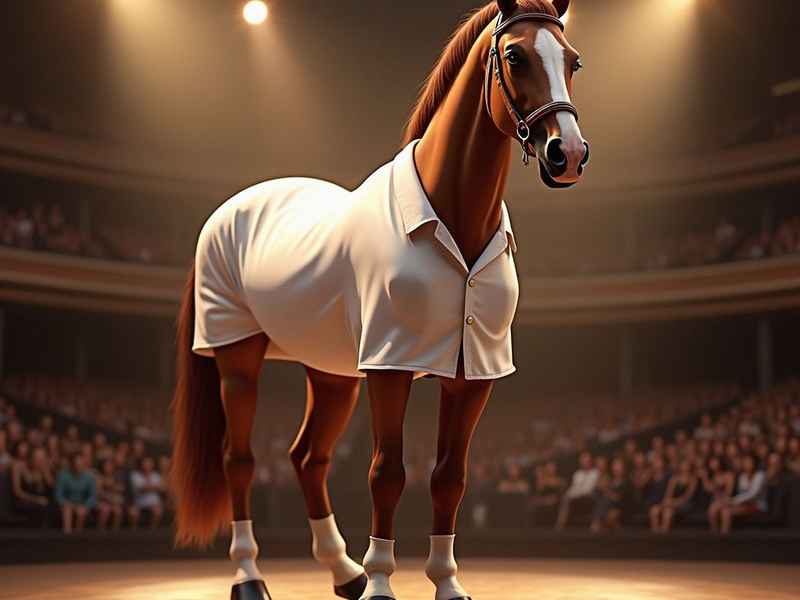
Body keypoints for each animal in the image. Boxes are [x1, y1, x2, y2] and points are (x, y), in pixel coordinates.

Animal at [170, 1, 589, 599]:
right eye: (515, 55)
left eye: (573, 61)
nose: (567, 154)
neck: (449, 219)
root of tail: (226, 213)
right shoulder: (390, 366)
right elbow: (387, 473)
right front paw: (382, 584)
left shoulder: (473, 378)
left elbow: (449, 477)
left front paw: (446, 584)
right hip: (238, 361)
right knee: (240, 461)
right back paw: (250, 578)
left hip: (332, 374)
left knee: (308, 459)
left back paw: (343, 574)